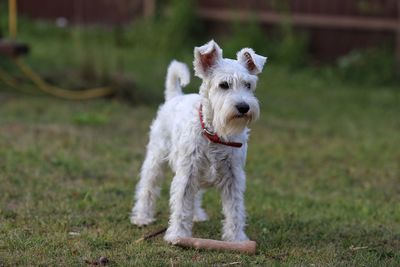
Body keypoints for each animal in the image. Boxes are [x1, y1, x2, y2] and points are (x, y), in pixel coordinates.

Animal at [131, 39, 268, 243]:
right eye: (224, 85)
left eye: (248, 84)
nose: (243, 107)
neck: (215, 133)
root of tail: (175, 96)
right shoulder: (187, 173)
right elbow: (181, 205)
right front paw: (178, 235)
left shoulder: (233, 177)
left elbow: (235, 210)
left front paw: (236, 239)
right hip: (156, 158)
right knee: (148, 187)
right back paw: (142, 217)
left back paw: (196, 215)